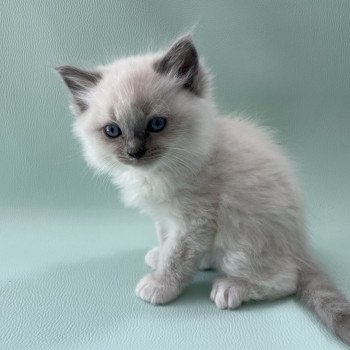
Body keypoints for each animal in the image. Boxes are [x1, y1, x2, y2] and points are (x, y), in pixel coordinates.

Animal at [57, 35, 350, 344]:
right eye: (113, 131)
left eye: (157, 124)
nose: (135, 152)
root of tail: (300, 247)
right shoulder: (166, 218)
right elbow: (165, 242)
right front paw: (159, 257)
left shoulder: (195, 221)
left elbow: (176, 257)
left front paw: (160, 286)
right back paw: (207, 262)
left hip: (240, 243)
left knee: (285, 280)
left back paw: (231, 288)